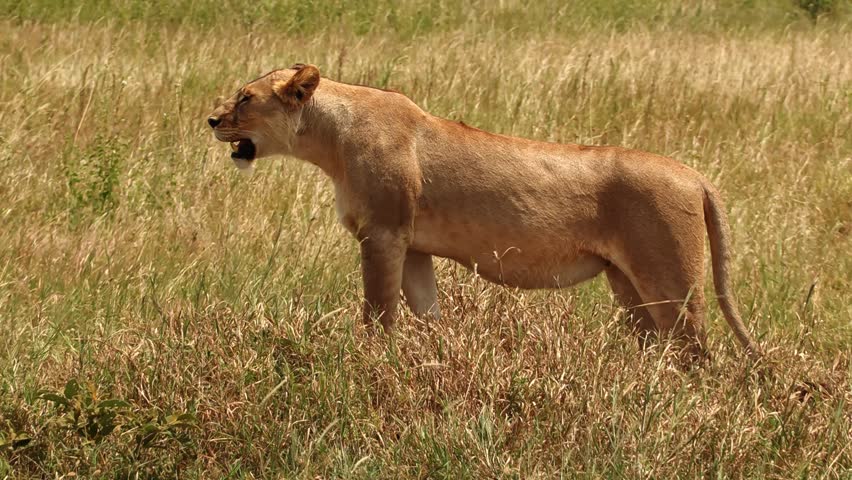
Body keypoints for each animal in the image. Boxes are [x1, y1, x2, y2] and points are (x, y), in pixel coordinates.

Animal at [207, 64, 761, 362]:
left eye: (245, 98)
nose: (211, 120)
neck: (328, 138)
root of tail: (694, 175)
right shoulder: (412, 246)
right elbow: (425, 312)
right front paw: (432, 361)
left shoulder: (382, 233)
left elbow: (378, 313)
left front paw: (372, 362)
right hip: (628, 285)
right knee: (660, 350)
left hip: (670, 282)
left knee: (697, 356)